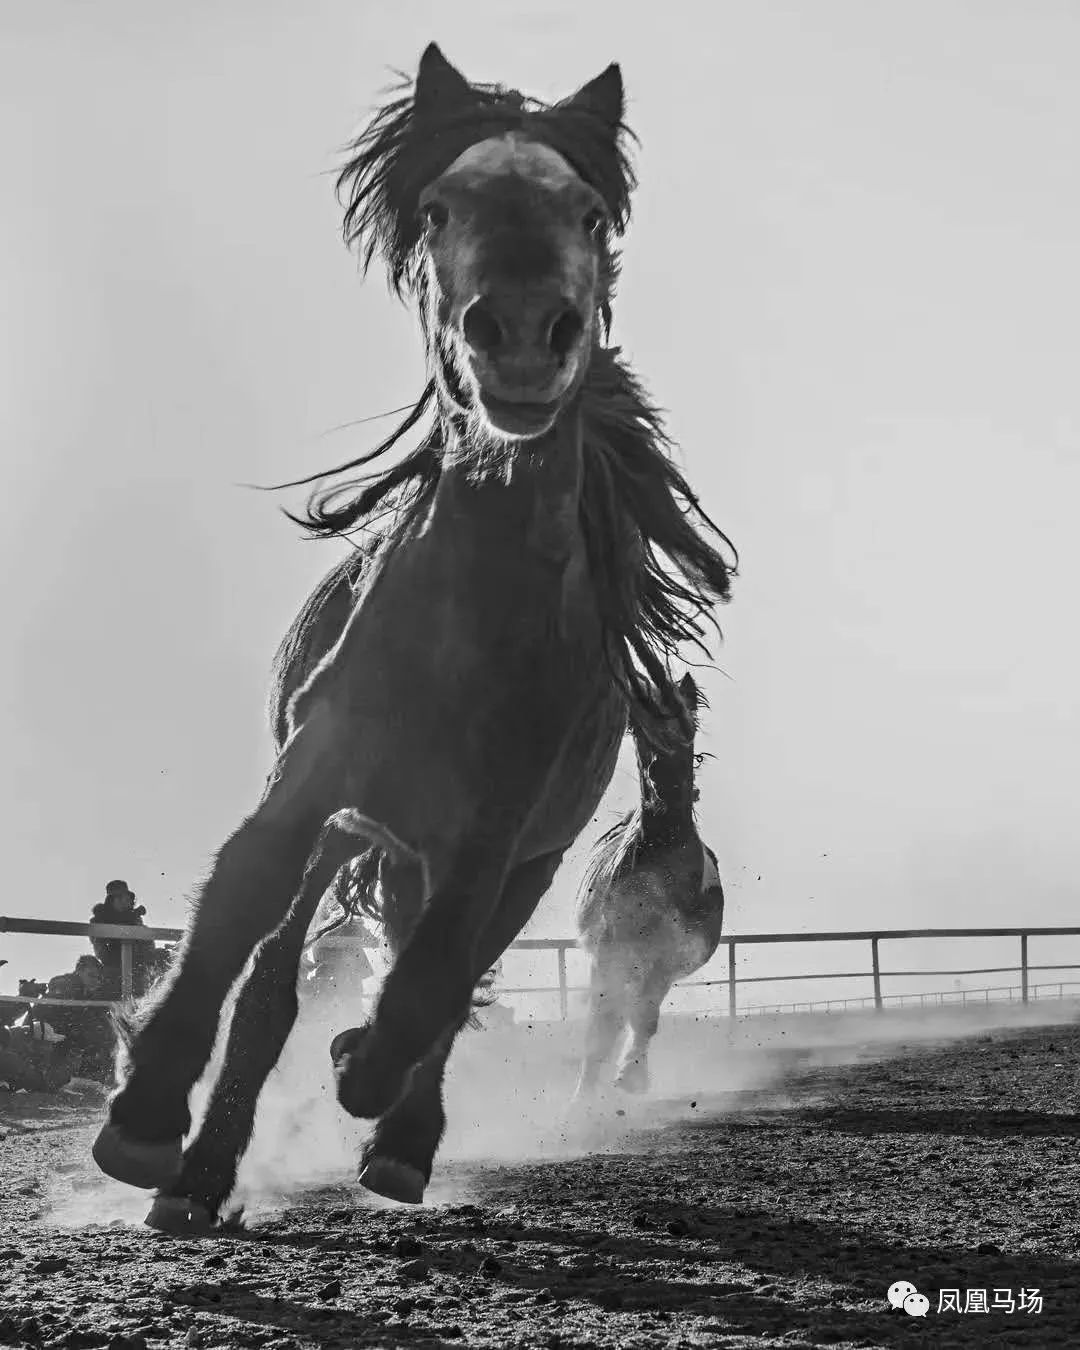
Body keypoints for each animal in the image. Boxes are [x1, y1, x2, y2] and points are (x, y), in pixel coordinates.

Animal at [573, 672, 725, 1099]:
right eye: (638, 728)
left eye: (687, 724)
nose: (662, 784)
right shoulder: (608, 953)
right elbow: (601, 1030)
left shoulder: (667, 958)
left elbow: (644, 1017)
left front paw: (632, 1076)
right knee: (606, 1021)